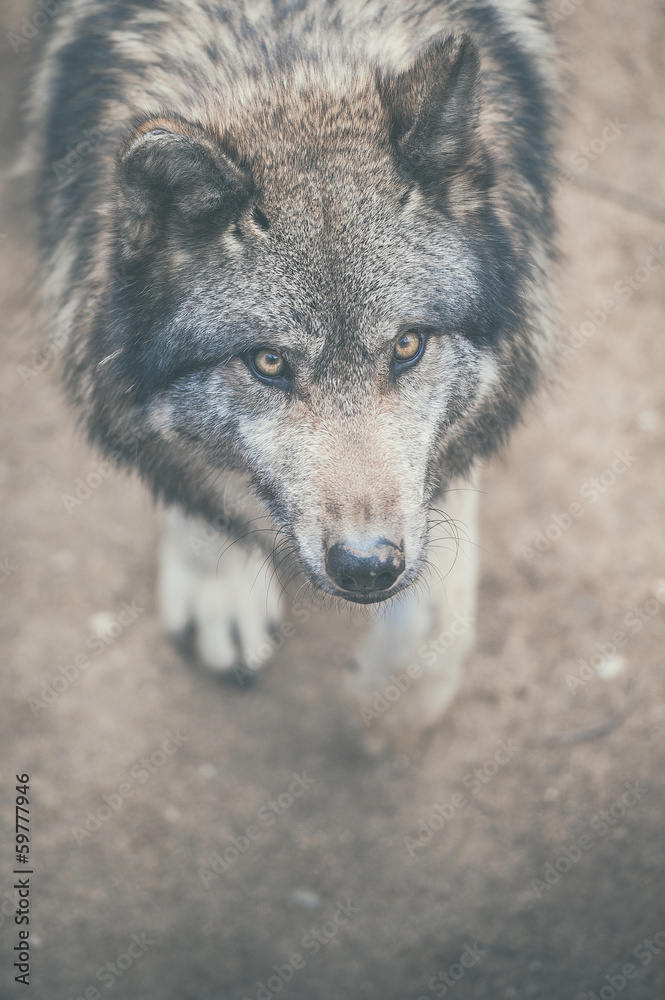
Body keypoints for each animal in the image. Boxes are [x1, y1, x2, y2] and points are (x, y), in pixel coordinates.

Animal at [26, 0, 559, 750]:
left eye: (407, 345)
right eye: (269, 363)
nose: (367, 566)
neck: (284, 41)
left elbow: (432, 605)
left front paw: (386, 706)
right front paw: (218, 576)